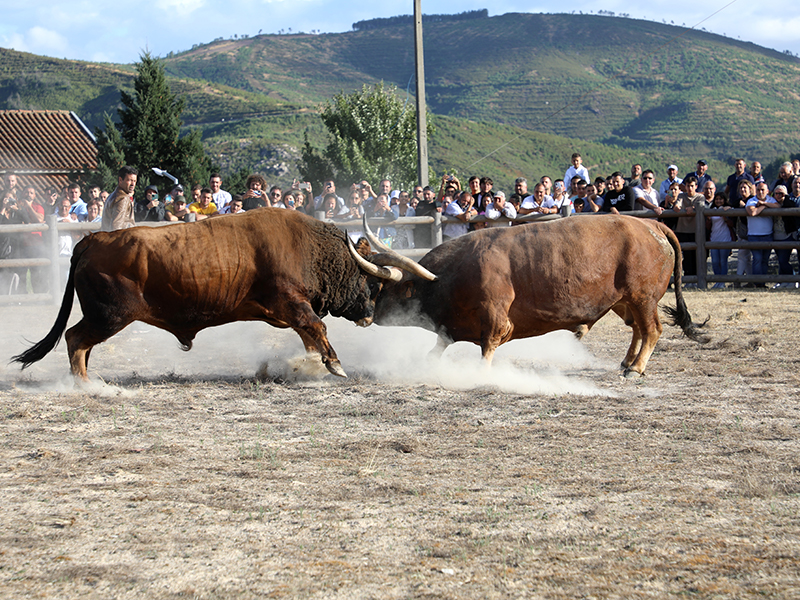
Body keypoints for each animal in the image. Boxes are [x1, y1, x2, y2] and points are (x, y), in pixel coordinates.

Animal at [12, 209, 434, 382]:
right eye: (370, 283)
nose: (368, 315)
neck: (308, 246)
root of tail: (92, 239)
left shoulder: (290, 313)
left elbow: (310, 336)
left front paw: (310, 365)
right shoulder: (291, 303)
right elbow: (318, 328)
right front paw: (334, 365)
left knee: (78, 342)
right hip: (110, 315)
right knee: (75, 339)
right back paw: (85, 385)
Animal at [368, 214, 708, 376]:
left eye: (386, 287)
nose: (368, 315)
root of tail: (650, 225)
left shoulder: (494, 316)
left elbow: (488, 346)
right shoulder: (450, 327)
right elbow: (438, 347)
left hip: (643, 298)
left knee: (652, 329)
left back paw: (636, 368)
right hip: (625, 302)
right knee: (637, 328)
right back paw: (627, 362)